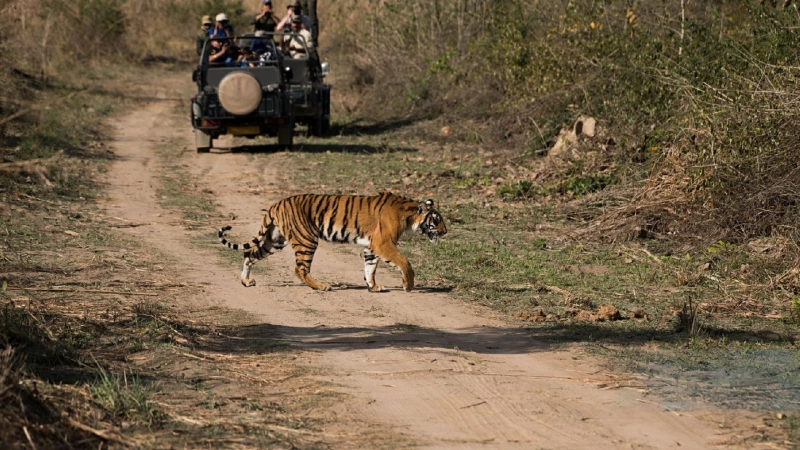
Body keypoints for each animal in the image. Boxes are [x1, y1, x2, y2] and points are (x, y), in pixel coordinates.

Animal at [216, 192, 446, 292]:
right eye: (436, 220)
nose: (445, 232)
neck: (409, 215)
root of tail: (276, 203)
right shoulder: (384, 243)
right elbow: (404, 262)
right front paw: (408, 285)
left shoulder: (371, 246)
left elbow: (370, 267)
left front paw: (372, 286)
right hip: (306, 240)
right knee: (300, 269)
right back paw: (321, 286)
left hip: (274, 241)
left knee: (249, 254)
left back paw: (246, 281)